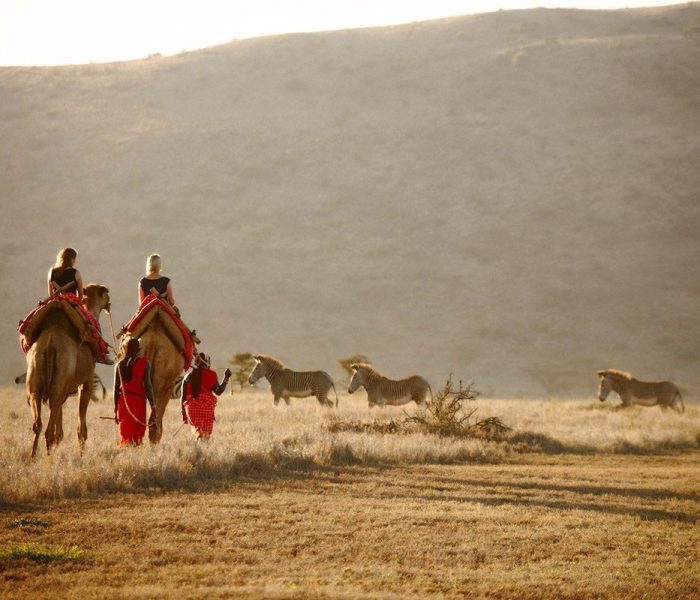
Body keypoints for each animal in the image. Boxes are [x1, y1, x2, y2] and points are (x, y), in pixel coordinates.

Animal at [25, 284, 111, 457]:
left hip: (36, 379)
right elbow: (81, 422)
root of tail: (50, 344)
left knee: (38, 422)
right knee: (48, 428)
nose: (109, 301)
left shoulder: (64, 388)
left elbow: (59, 422)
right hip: (60, 377)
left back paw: (33, 456)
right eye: (106, 293)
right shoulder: (87, 381)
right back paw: (48, 457)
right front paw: (82, 452)